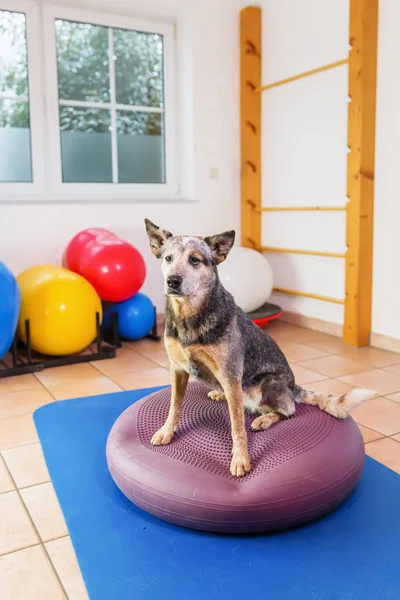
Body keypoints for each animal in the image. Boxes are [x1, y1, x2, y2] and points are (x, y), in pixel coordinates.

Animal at [145, 220, 376, 478]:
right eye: (168, 258)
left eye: (195, 260)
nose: (172, 281)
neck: (189, 317)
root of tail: (293, 387)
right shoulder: (177, 370)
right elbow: (174, 407)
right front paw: (166, 431)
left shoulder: (230, 373)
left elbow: (237, 426)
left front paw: (240, 459)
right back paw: (220, 394)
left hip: (263, 386)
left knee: (288, 411)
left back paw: (263, 419)